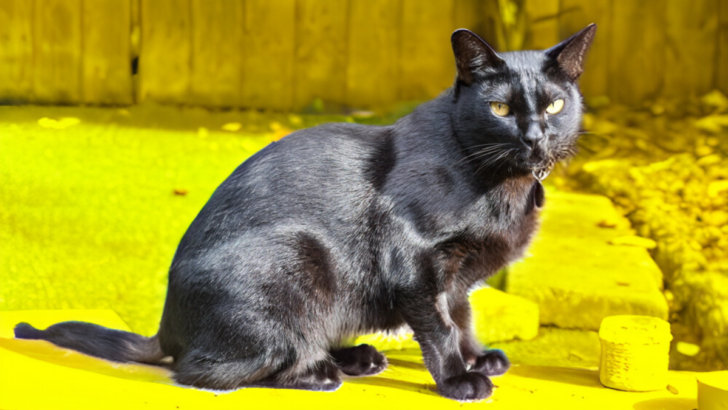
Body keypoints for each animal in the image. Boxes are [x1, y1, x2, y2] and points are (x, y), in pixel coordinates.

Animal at [15, 24, 596, 400]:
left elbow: (462, 313)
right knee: (202, 370)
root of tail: (166, 326)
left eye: (554, 105)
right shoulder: (415, 260)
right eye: (499, 108)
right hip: (296, 257)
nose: (535, 137)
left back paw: (355, 357)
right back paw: (319, 372)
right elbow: (439, 325)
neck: (502, 184)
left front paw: (478, 357)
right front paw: (459, 378)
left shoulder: (454, 274)